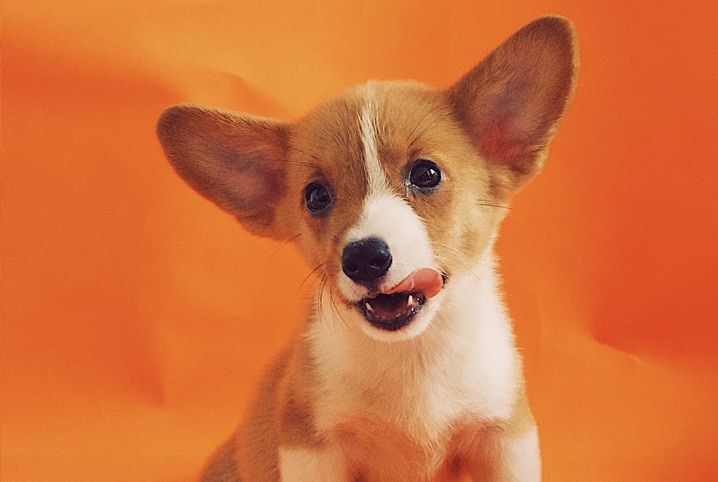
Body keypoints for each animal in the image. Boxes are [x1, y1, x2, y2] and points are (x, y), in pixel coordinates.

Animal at [158, 16, 580, 482]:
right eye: (316, 196)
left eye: (426, 174)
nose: (363, 259)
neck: (412, 356)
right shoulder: (311, 447)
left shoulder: (503, 435)